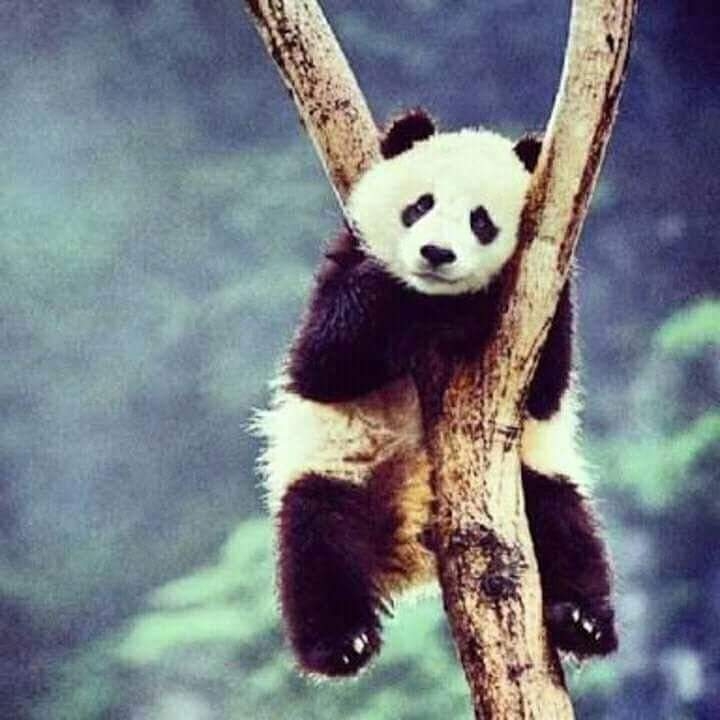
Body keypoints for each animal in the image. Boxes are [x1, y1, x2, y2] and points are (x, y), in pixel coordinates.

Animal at [256, 109, 617, 677]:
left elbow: (547, 388)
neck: (436, 302)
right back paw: (342, 643)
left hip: (530, 482)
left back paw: (583, 621)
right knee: (316, 541)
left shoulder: (539, 301)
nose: (435, 253)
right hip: (336, 468)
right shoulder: (345, 262)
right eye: (420, 204)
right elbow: (322, 360)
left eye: (481, 221)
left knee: (566, 525)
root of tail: (408, 549)